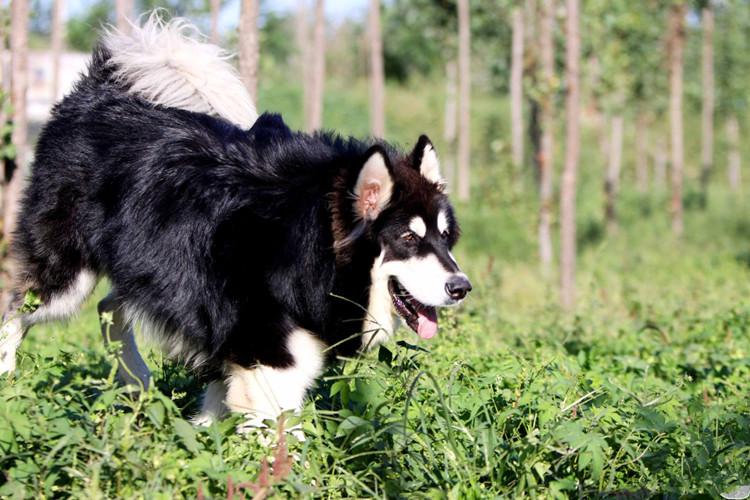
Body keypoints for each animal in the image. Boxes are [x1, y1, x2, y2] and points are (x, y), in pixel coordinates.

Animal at [0, 15, 470, 426]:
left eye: (445, 239)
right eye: (408, 238)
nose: (461, 287)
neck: (314, 243)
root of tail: (96, 89)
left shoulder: (239, 347)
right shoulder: (269, 361)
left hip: (149, 269)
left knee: (109, 306)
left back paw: (136, 384)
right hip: (65, 275)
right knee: (19, 310)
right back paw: (10, 378)